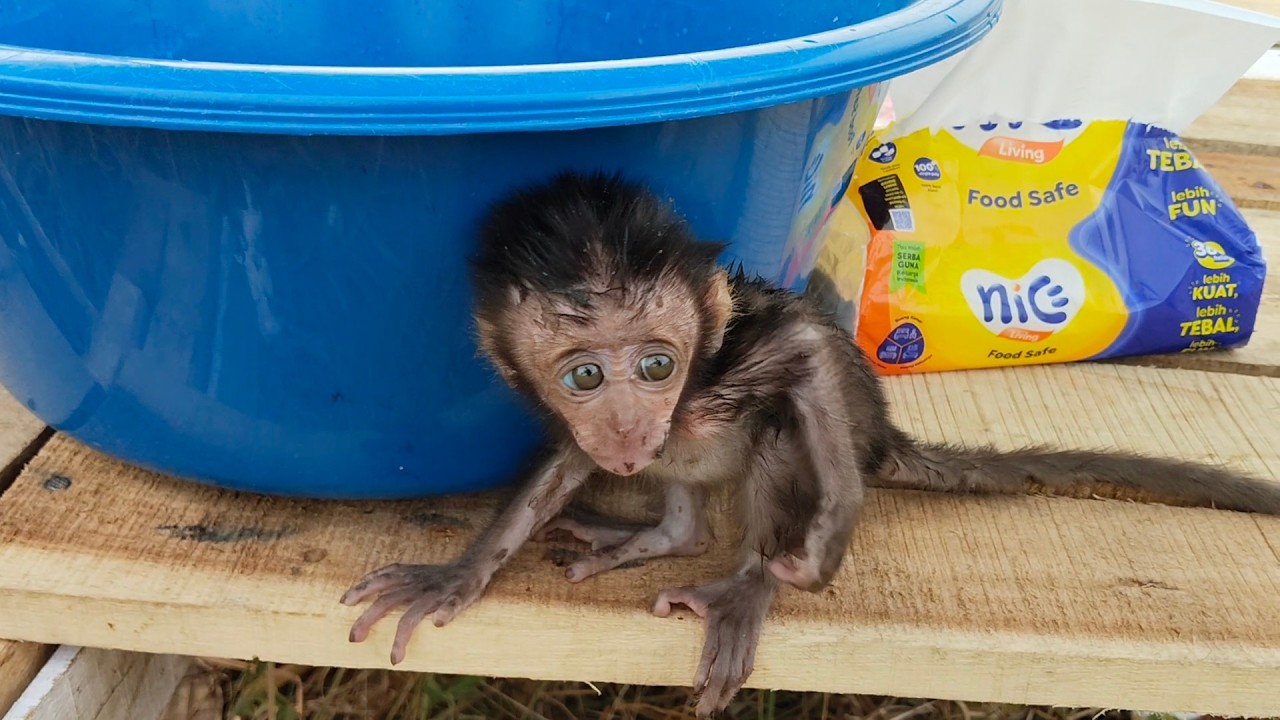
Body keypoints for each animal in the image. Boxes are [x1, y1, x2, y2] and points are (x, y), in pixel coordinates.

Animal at [341, 170, 1280, 718]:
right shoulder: (591, 428)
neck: (679, 402)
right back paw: (657, 535)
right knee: (685, 515)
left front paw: (825, 534)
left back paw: (747, 584)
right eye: (584, 377)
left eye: (657, 364)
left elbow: (805, 352)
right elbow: (563, 462)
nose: (632, 428)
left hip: (820, 431)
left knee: (783, 424)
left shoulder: (724, 376)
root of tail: (884, 432)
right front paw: (459, 574)